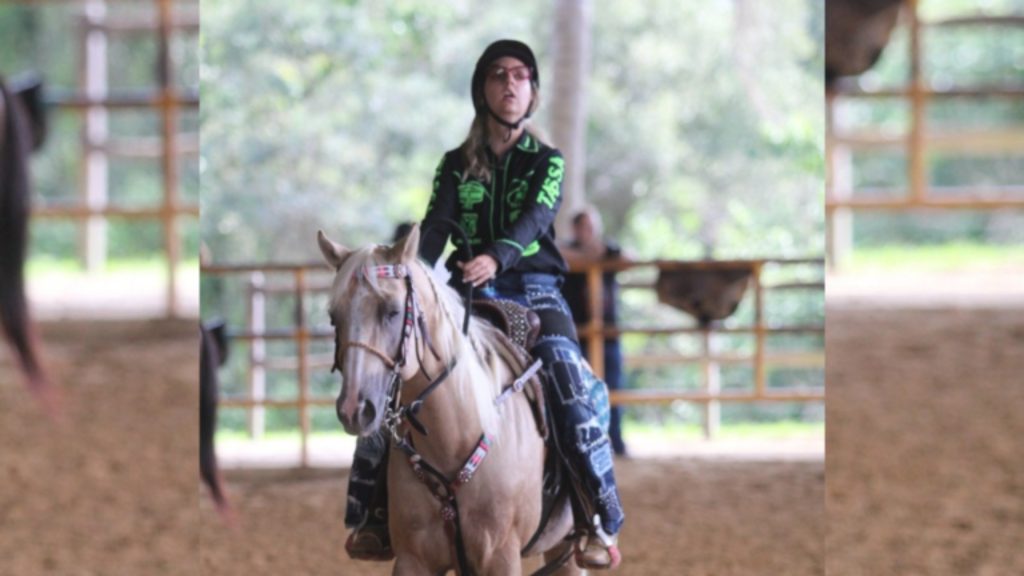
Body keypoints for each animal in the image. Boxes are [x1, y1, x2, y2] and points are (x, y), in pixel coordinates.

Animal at [315, 225, 581, 573]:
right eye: (335, 317)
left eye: (393, 311)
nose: (354, 410)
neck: (453, 437)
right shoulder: (413, 559)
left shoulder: (501, 556)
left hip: (566, 546)